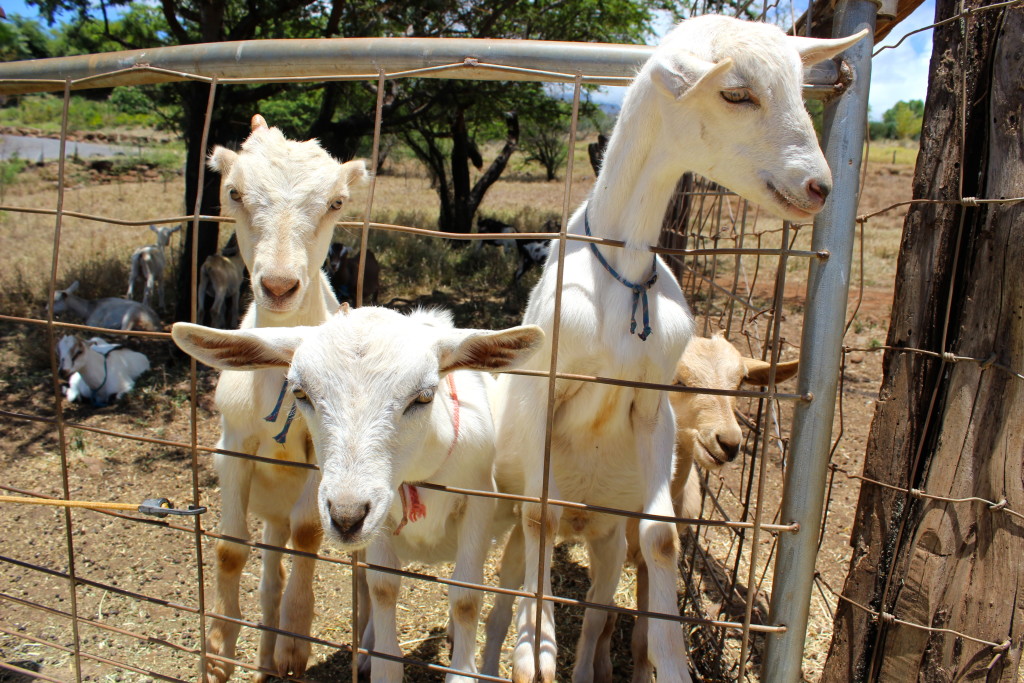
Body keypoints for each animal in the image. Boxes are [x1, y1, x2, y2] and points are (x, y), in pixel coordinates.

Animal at [172, 305, 544, 683]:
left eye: (424, 396)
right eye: (300, 393)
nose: (346, 516)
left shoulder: (478, 501)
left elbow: (466, 596)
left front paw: (463, 673)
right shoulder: (381, 515)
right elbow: (382, 586)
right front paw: (382, 665)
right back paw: (365, 651)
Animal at [198, 114, 364, 679]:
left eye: (336, 202)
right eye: (233, 192)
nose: (277, 285)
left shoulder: (322, 454)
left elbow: (310, 532)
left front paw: (296, 643)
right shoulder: (234, 439)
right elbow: (230, 549)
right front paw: (218, 650)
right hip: (266, 503)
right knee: (270, 570)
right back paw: (264, 657)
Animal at [487, 17, 864, 683]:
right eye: (736, 93)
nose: (819, 186)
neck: (623, 278)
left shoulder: (649, 408)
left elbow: (661, 539)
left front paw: (670, 659)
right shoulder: (542, 395)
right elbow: (539, 515)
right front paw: (535, 648)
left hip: (608, 527)